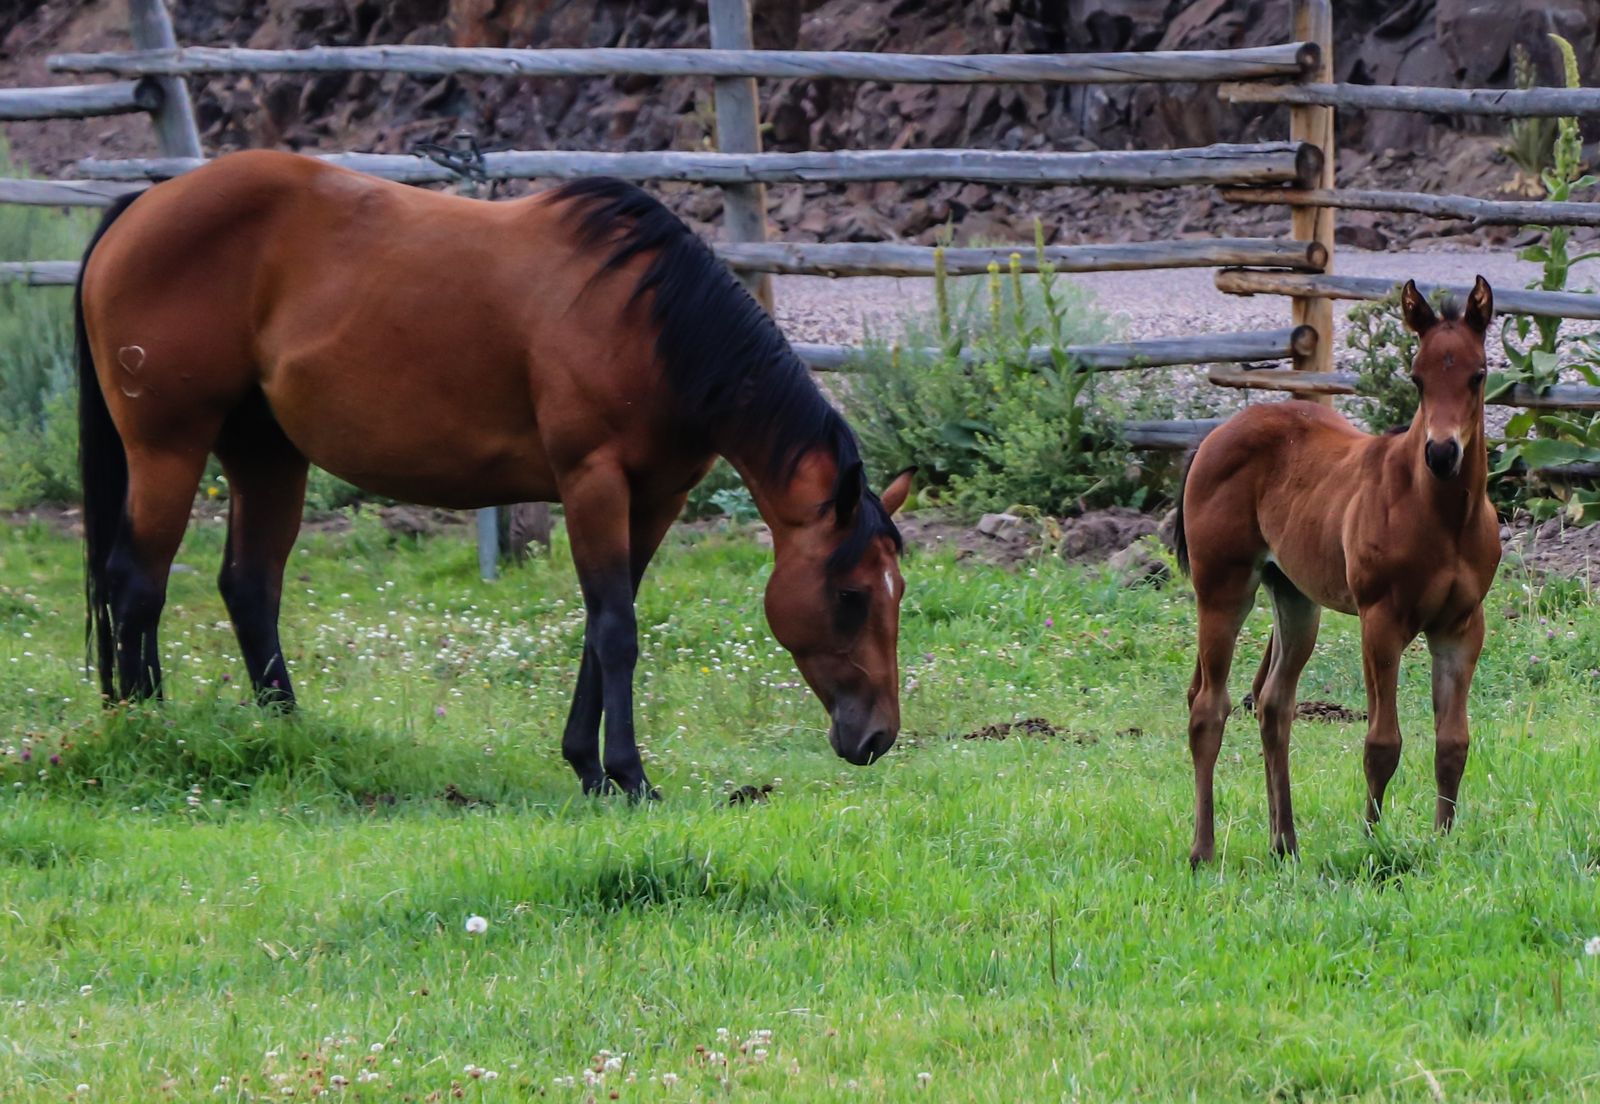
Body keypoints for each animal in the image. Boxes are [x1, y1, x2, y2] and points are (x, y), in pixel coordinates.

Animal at [74, 149, 914, 799]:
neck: (652, 324)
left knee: (248, 587)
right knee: (137, 582)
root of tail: (145, 203)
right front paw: (630, 775)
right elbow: (617, 631)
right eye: (850, 596)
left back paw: (286, 731)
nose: (876, 737)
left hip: (266, 454)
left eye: (896, 592)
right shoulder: (592, 482)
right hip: (169, 448)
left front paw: (587, 769)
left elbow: (601, 627)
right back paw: (145, 725)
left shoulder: (654, 500)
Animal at [1175, 277, 1500, 864]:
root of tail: (1215, 434)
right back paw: (1203, 851)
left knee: (1274, 706)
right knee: (1209, 708)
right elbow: (1382, 743)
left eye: (1478, 374)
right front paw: (1373, 842)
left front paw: (1442, 844)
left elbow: (1453, 743)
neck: (1443, 517)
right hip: (1222, 589)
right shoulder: (1381, 620)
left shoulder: (1461, 626)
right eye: (1417, 378)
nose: (1442, 454)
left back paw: (1285, 844)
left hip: (1295, 599)